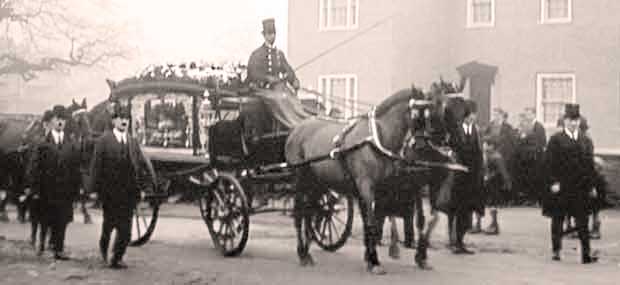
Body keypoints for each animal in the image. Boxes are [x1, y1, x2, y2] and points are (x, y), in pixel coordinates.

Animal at [284, 87, 434, 272]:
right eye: (413, 114)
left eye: (428, 115)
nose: (421, 146)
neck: (376, 139)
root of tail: (297, 129)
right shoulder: (366, 186)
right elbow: (371, 222)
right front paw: (374, 260)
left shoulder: (381, 188)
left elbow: (374, 221)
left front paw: (371, 256)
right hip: (300, 179)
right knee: (299, 213)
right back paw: (302, 253)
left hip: (316, 183)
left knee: (309, 212)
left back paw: (307, 250)